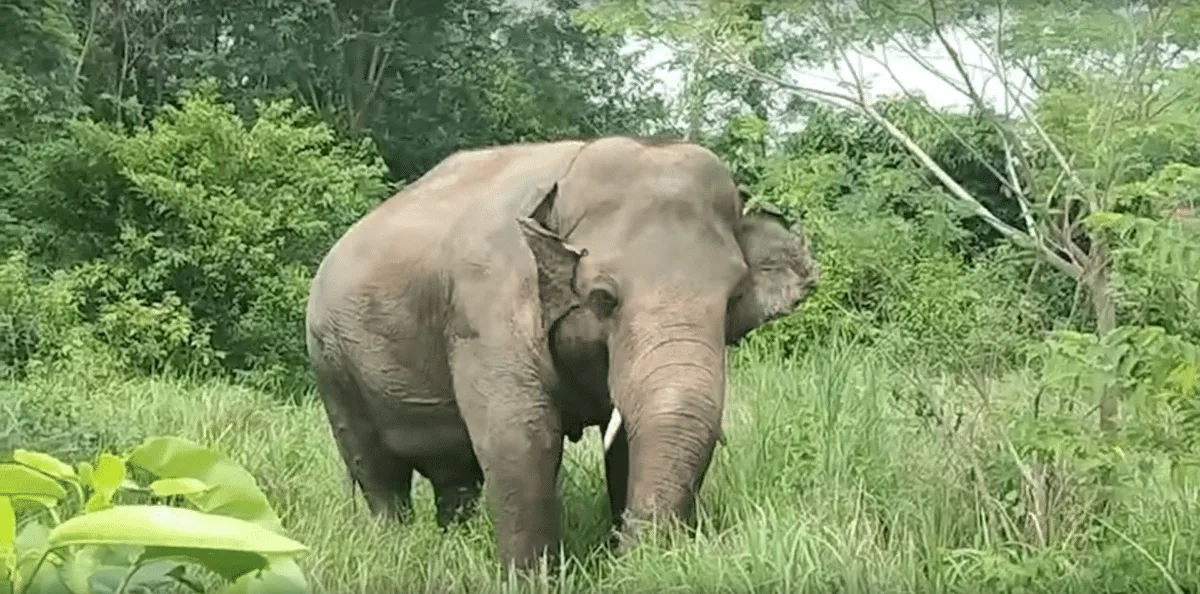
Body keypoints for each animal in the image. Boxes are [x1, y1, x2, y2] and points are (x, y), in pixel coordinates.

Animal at [304, 136, 820, 571]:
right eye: (603, 298)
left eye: (734, 298)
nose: (626, 555)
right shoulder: (488, 306)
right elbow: (520, 439)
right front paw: (531, 579)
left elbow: (627, 443)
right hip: (331, 364)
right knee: (377, 471)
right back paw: (394, 543)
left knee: (455, 476)